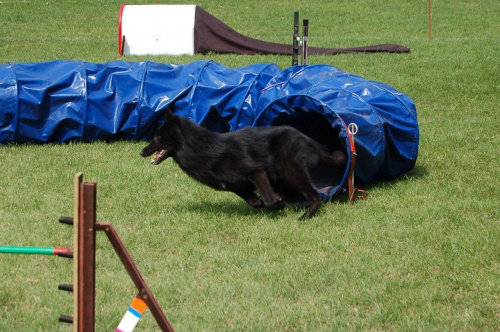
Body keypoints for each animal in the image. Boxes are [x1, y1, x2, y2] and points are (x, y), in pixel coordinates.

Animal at [139, 107, 346, 219]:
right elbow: (255, 201)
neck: (201, 148)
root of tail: (311, 142)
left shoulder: (257, 172)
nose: (141, 152)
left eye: (158, 137)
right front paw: (266, 202)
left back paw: (305, 217)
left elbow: (268, 201)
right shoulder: (235, 185)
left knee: (316, 196)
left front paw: (277, 204)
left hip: (290, 171)